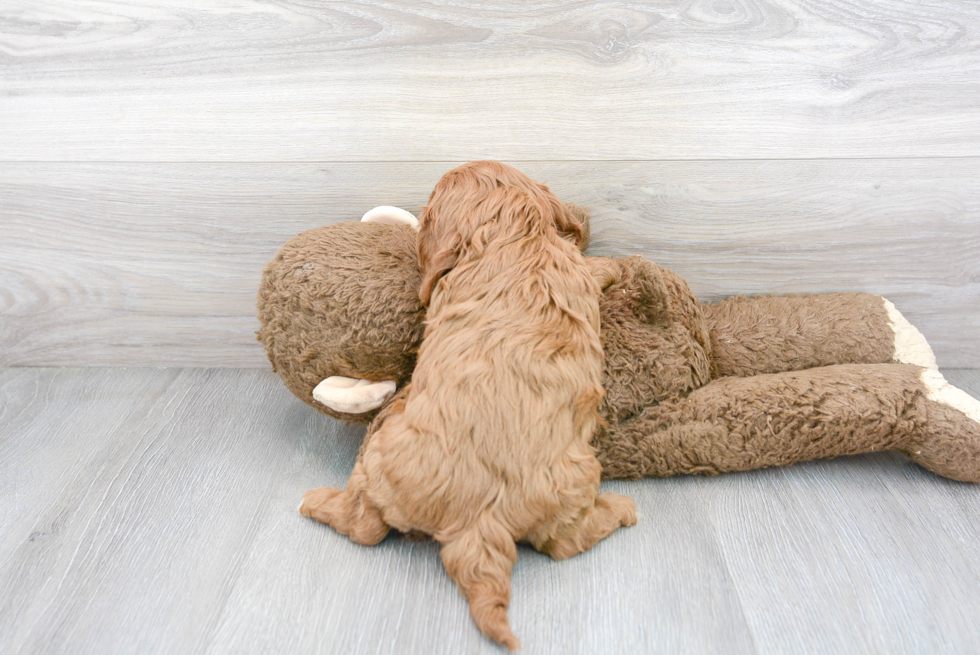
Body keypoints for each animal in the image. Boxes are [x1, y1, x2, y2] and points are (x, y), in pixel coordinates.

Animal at [300, 160, 636, 652]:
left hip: (380, 457)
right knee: (564, 542)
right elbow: (591, 271)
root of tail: (478, 519)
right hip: (571, 482)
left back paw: (315, 501)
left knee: (365, 526)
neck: (514, 238)